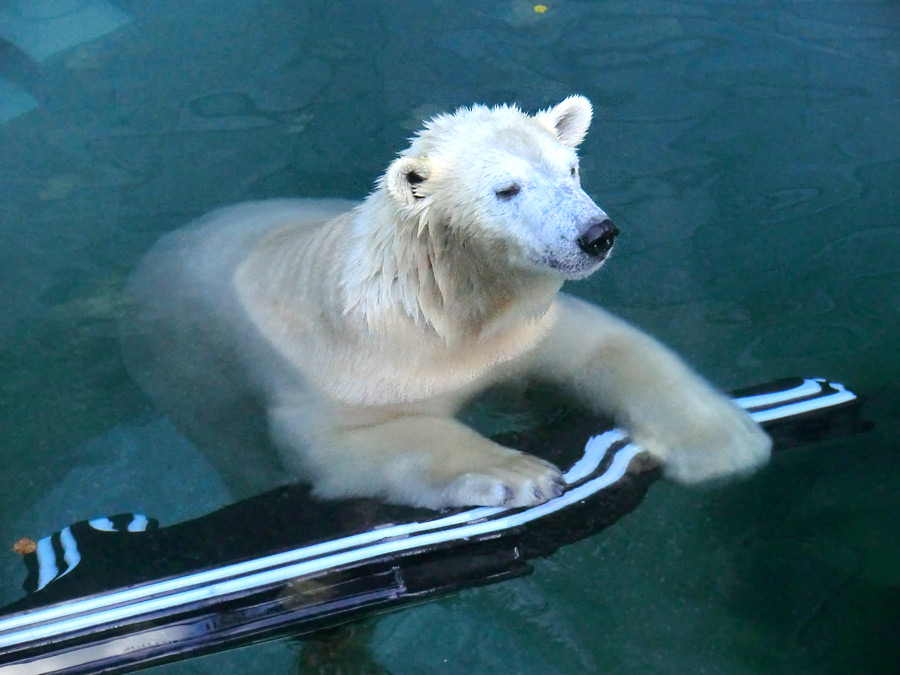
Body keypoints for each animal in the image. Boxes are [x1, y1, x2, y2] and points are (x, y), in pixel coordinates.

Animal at [126, 93, 768, 508]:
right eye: (506, 189)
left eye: (572, 168)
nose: (596, 234)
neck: (442, 302)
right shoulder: (356, 366)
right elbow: (344, 444)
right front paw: (518, 472)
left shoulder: (519, 329)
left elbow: (604, 347)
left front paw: (724, 442)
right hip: (187, 366)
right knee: (236, 447)